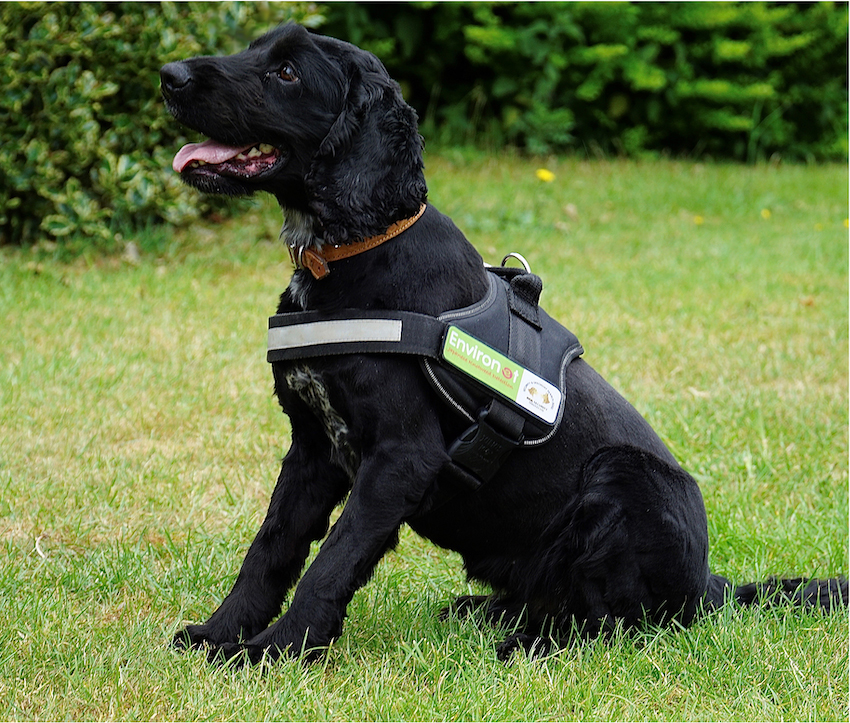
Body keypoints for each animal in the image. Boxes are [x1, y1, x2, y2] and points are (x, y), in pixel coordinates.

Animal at [162, 24, 844, 668]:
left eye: (287, 72)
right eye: (256, 50)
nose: (169, 75)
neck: (354, 255)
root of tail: (708, 587)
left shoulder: (400, 458)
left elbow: (331, 561)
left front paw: (276, 650)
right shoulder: (312, 448)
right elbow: (271, 548)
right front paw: (219, 635)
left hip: (621, 481)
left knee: (614, 623)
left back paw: (528, 644)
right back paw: (485, 612)